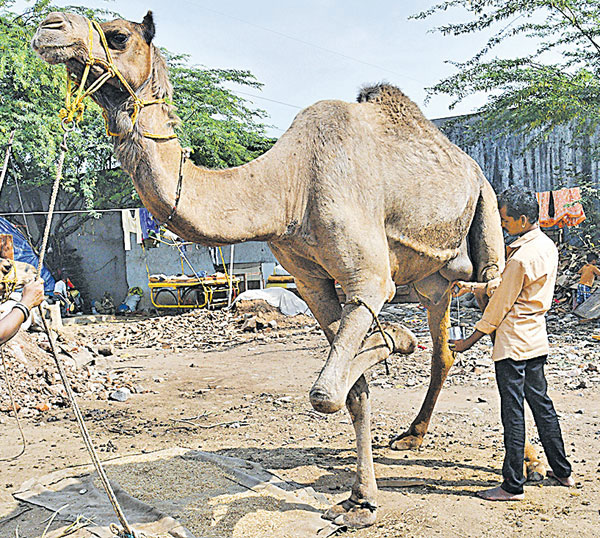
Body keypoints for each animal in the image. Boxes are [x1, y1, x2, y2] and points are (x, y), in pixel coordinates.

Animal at [30, 11, 540, 524]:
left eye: (118, 36)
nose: (49, 27)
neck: (288, 187)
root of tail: (469, 164)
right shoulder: (311, 281)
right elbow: (351, 390)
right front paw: (360, 499)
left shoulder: (368, 279)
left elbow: (326, 392)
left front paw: (393, 340)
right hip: (434, 283)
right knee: (445, 348)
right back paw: (414, 433)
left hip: (488, 210)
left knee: (497, 317)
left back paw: (529, 461)